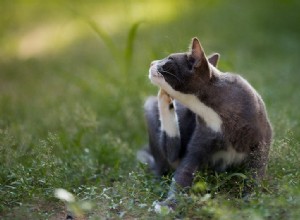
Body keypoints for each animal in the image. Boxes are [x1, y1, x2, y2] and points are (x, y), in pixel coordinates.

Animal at [139, 37, 274, 211]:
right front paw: (169, 204)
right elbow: (183, 173)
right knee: (167, 158)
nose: (151, 63)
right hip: (150, 108)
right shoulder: (200, 138)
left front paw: (251, 198)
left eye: (169, 59)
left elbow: (256, 170)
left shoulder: (262, 138)